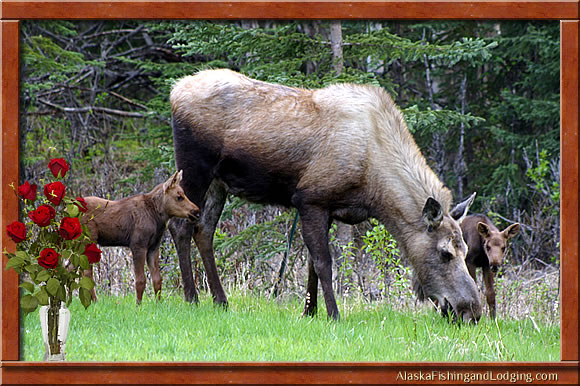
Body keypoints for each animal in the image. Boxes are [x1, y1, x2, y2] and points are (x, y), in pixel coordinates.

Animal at [81, 170, 199, 304]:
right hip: (89, 240)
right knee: (87, 272)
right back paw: (95, 301)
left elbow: (157, 279)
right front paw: (138, 304)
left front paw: (158, 303)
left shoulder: (154, 247)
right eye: (179, 197)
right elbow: (140, 280)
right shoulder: (138, 245)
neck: (158, 218)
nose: (196, 211)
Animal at [167, 69, 480, 322]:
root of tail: (174, 90)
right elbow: (324, 264)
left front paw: (309, 311)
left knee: (204, 230)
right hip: (194, 169)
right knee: (179, 226)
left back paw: (220, 300)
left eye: (466, 250)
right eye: (445, 253)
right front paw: (333, 314)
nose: (472, 311)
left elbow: (311, 266)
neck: (375, 188)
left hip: (218, 183)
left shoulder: (328, 209)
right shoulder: (310, 200)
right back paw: (192, 297)